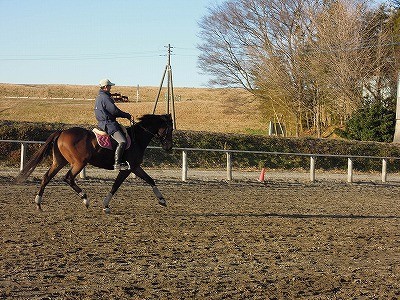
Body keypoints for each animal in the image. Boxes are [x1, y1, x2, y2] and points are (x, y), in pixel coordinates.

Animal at [14, 113, 174, 213]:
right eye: (169, 129)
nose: (169, 147)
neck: (137, 138)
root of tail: (62, 132)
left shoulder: (135, 167)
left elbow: (150, 179)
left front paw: (162, 200)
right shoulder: (127, 169)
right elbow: (116, 186)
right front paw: (105, 205)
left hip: (59, 162)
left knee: (46, 177)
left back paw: (38, 203)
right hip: (79, 163)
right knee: (68, 178)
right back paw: (85, 199)